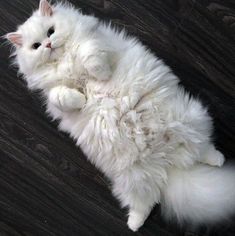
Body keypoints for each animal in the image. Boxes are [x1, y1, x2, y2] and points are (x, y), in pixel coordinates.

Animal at [5, 0, 235, 231]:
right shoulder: (54, 97)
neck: (63, 62)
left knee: (205, 150)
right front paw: (81, 99)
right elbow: (60, 96)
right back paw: (133, 225)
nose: (48, 45)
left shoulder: (100, 44)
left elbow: (88, 53)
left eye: (50, 31)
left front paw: (99, 75)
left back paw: (219, 160)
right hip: (135, 181)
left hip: (189, 123)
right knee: (146, 204)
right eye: (35, 46)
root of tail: (168, 162)